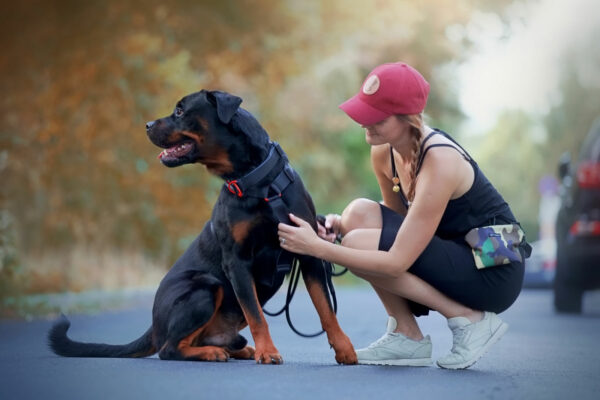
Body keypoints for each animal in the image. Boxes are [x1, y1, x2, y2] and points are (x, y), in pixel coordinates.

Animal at [48, 89, 356, 364]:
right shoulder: (236, 261)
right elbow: (257, 316)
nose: (147, 125)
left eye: (180, 111)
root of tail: (153, 324)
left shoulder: (308, 249)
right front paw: (267, 352)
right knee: (170, 348)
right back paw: (213, 353)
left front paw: (344, 349)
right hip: (205, 287)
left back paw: (235, 349)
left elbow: (326, 309)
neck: (258, 182)